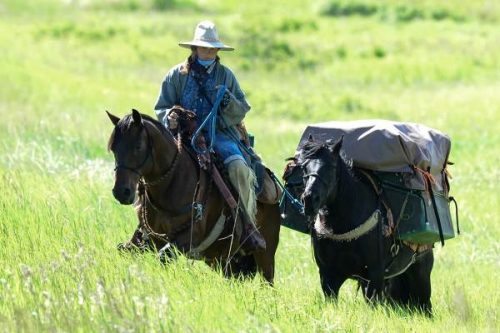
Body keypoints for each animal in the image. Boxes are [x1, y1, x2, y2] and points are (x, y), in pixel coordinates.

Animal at [106, 109, 282, 282]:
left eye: (138, 146)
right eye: (113, 148)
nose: (121, 192)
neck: (172, 182)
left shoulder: (189, 238)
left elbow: (163, 255)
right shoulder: (151, 238)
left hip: (265, 256)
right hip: (223, 261)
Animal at [292, 136, 434, 312]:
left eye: (331, 167)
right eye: (303, 167)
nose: (310, 200)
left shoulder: (375, 275)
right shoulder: (328, 276)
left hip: (420, 274)